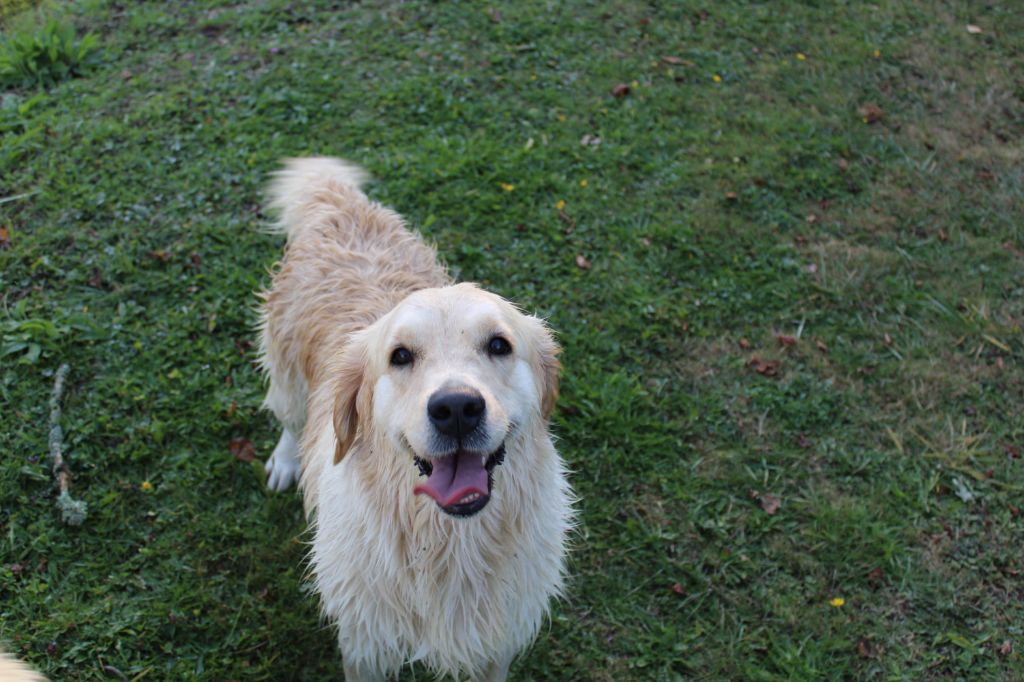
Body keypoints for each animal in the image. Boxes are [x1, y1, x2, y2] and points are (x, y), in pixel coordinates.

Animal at [256, 156, 577, 675]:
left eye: (499, 345)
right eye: (400, 356)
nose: (457, 409)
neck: (446, 541)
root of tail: (344, 208)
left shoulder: (495, 648)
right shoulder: (364, 644)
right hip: (287, 373)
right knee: (288, 417)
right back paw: (286, 462)